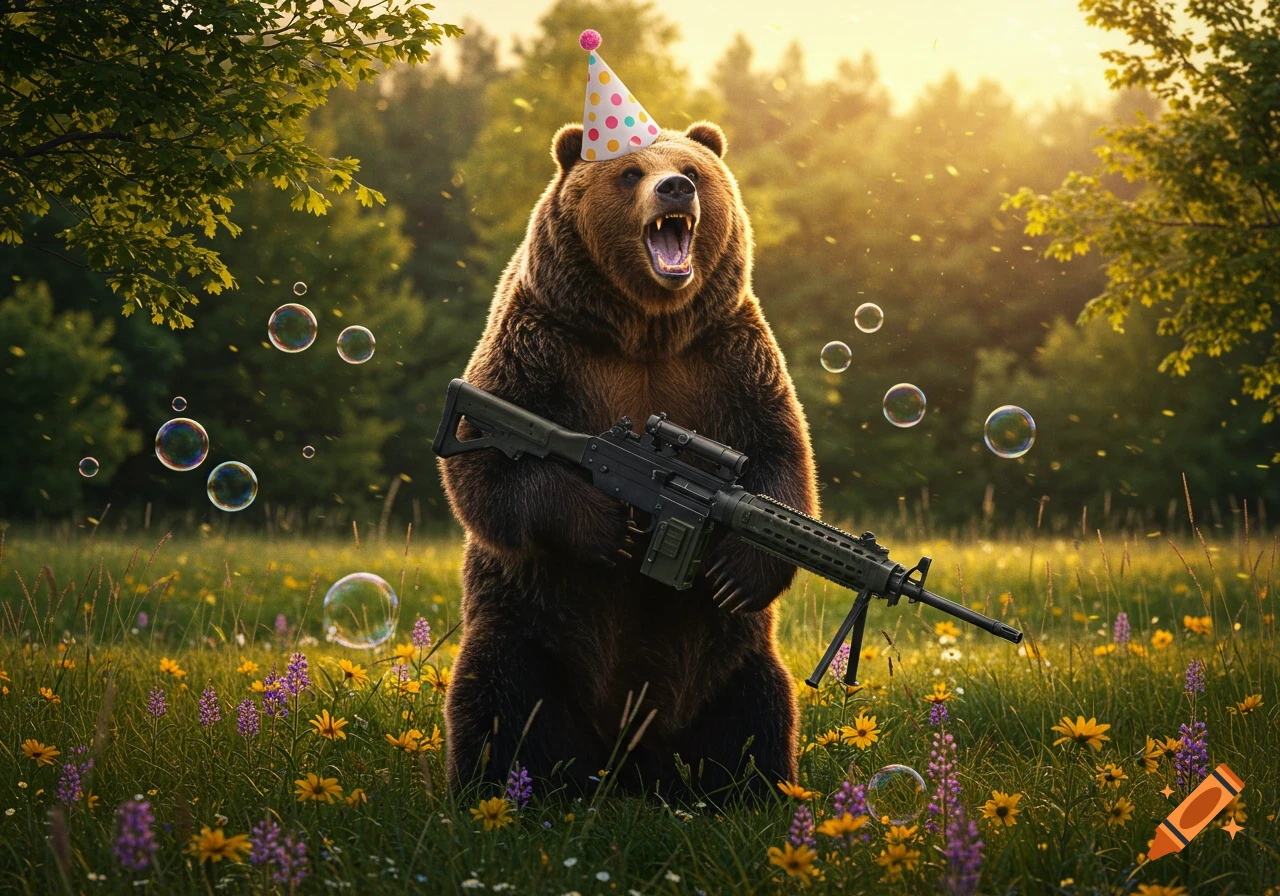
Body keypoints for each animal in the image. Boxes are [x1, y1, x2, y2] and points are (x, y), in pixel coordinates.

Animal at [437, 120, 819, 802]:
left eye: (692, 171)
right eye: (629, 173)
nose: (674, 188)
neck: (646, 330)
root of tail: (629, 763)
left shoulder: (729, 356)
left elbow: (780, 452)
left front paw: (739, 570)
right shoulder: (541, 342)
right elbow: (486, 471)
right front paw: (606, 528)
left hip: (731, 661)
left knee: (758, 715)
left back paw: (754, 795)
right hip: (528, 629)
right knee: (499, 702)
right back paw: (495, 794)